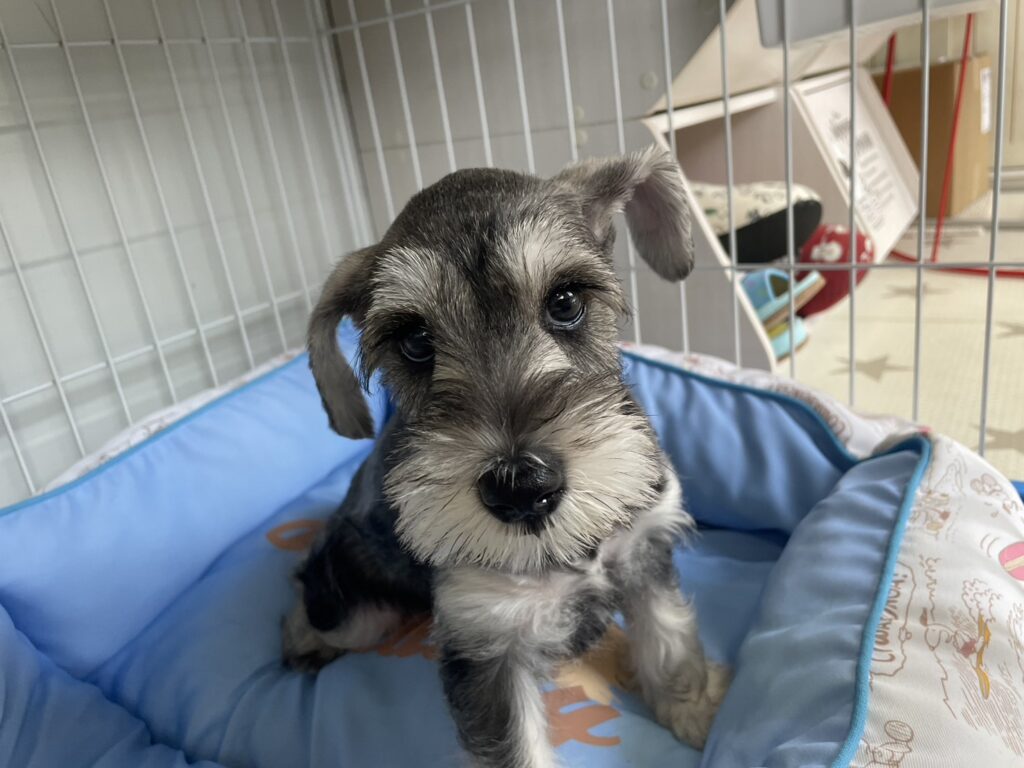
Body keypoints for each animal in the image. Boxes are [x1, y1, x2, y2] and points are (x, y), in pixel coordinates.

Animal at [282, 146, 728, 767]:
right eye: (414, 341)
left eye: (566, 301)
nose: (522, 488)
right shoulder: (487, 640)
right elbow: (517, 747)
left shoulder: (644, 548)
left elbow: (668, 636)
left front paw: (694, 707)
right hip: (352, 602)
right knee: (311, 602)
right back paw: (301, 640)